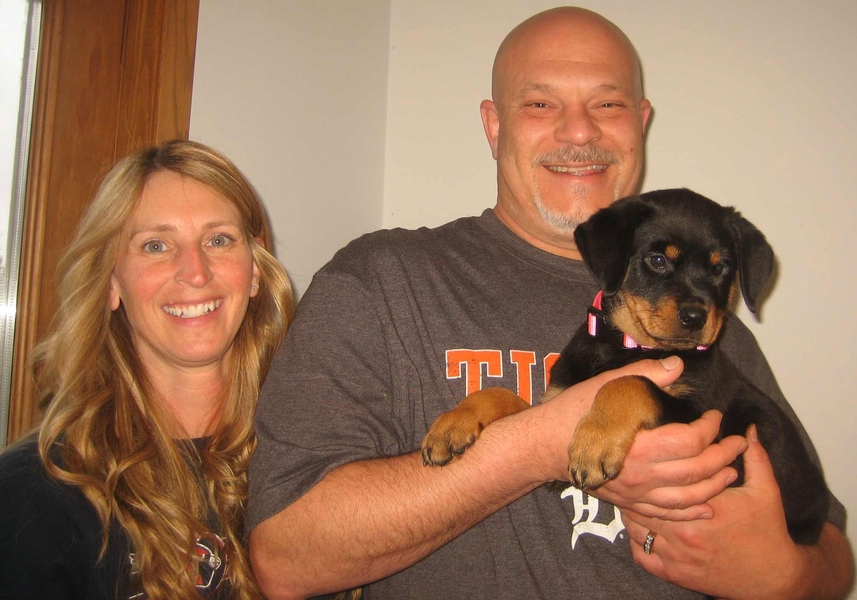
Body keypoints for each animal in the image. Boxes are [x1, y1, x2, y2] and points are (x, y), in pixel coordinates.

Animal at [421, 188, 829, 545]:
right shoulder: (556, 398)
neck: (629, 346)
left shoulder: (704, 421)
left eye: (720, 268)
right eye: (658, 260)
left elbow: (629, 383)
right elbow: (501, 393)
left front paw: (594, 443)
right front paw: (452, 424)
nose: (696, 317)